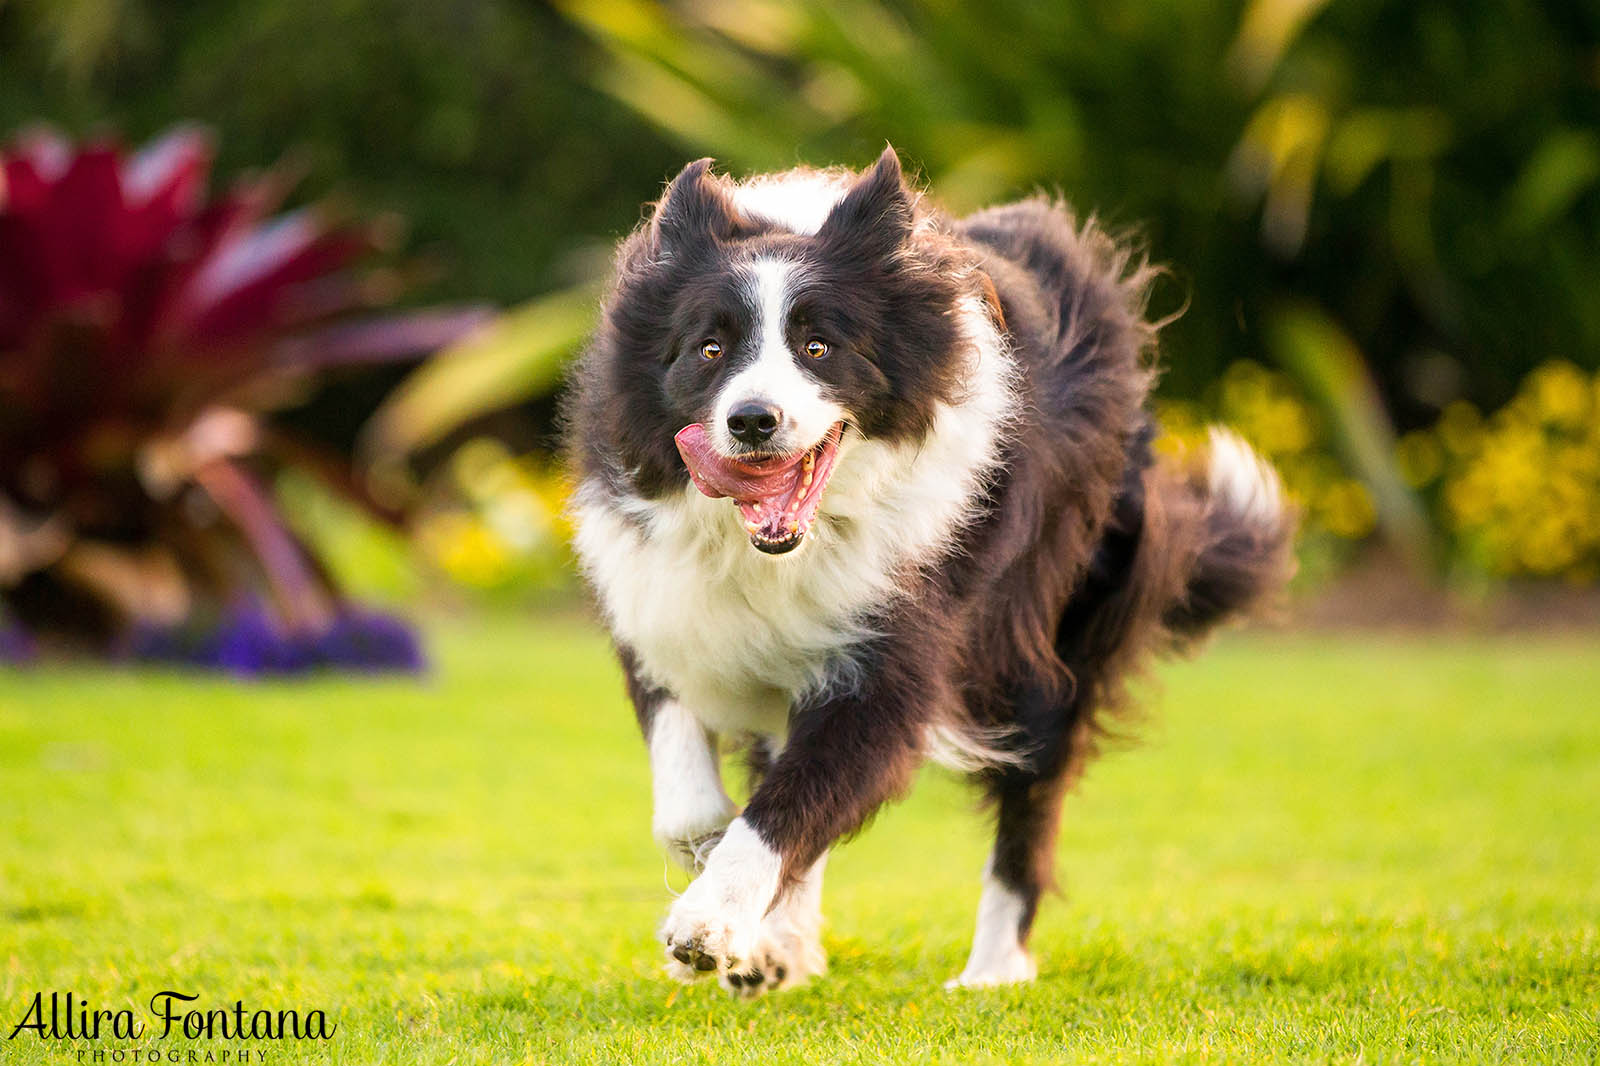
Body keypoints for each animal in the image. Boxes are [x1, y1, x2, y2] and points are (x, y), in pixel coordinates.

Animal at [569, 145, 1292, 992]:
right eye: (709, 349)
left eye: (819, 347)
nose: (752, 421)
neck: (785, 546)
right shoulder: (660, 587)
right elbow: (692, 755)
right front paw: (716, 868)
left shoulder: (899, 622)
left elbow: (804, 789)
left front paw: (707, 923)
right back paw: (783, 947)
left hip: (1053, 609)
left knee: (1035, 777)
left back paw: (991, 970)